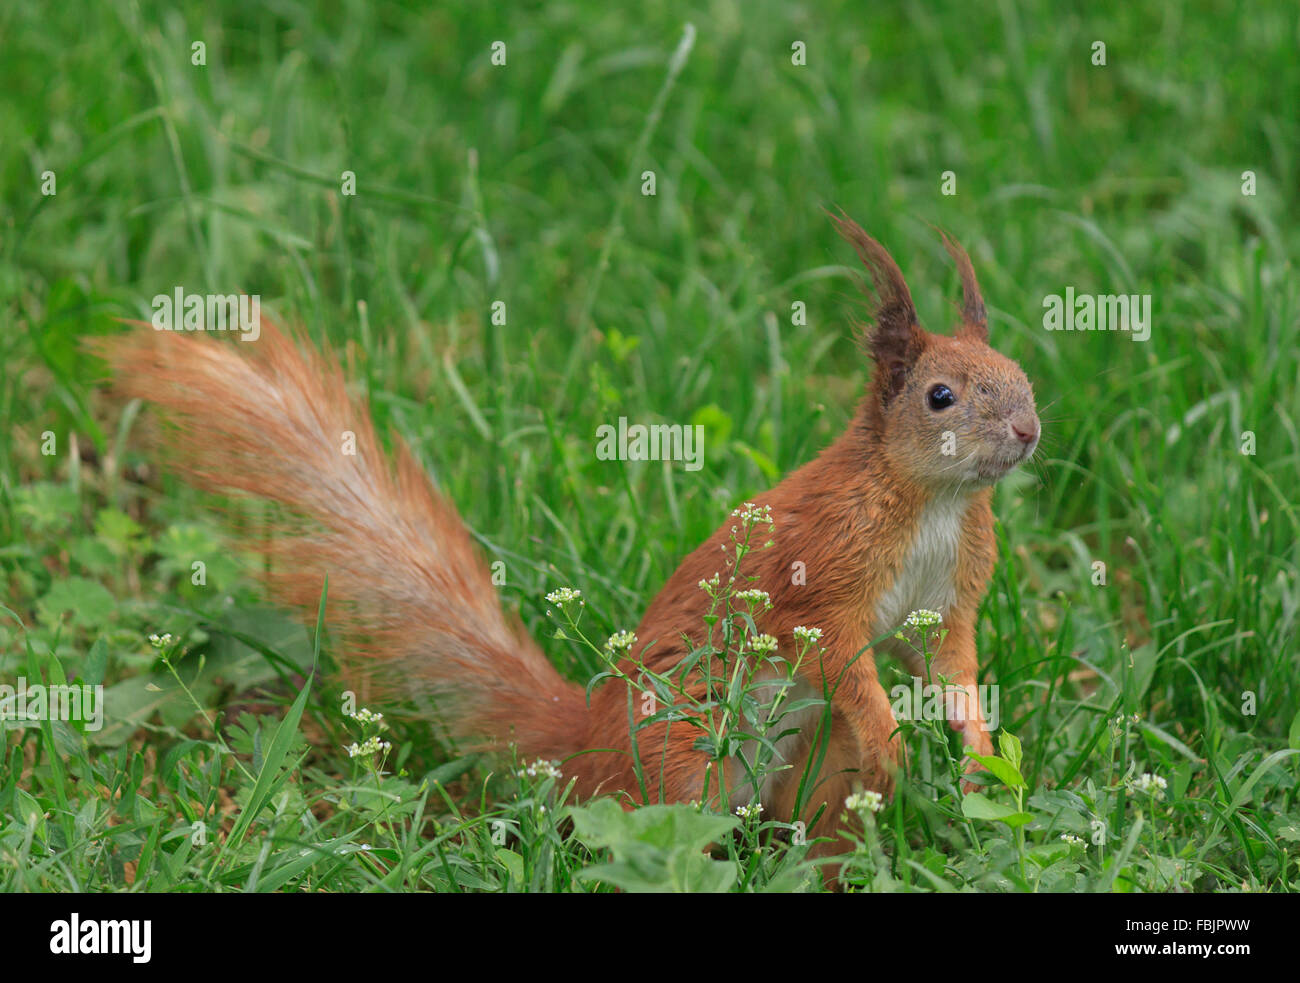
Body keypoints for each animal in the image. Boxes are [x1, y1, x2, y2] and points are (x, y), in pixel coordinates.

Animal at [106, 213, 1045, 842]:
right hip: (686, 753)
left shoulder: (948, 595)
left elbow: (950, 665)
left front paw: (978, 751)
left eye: (1022, 374)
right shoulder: (826, 576)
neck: (933, 501)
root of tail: (582, 747)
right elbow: (841, 659)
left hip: (809, 763)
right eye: (940, 396)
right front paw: (892, 737)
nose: (1029, 431)